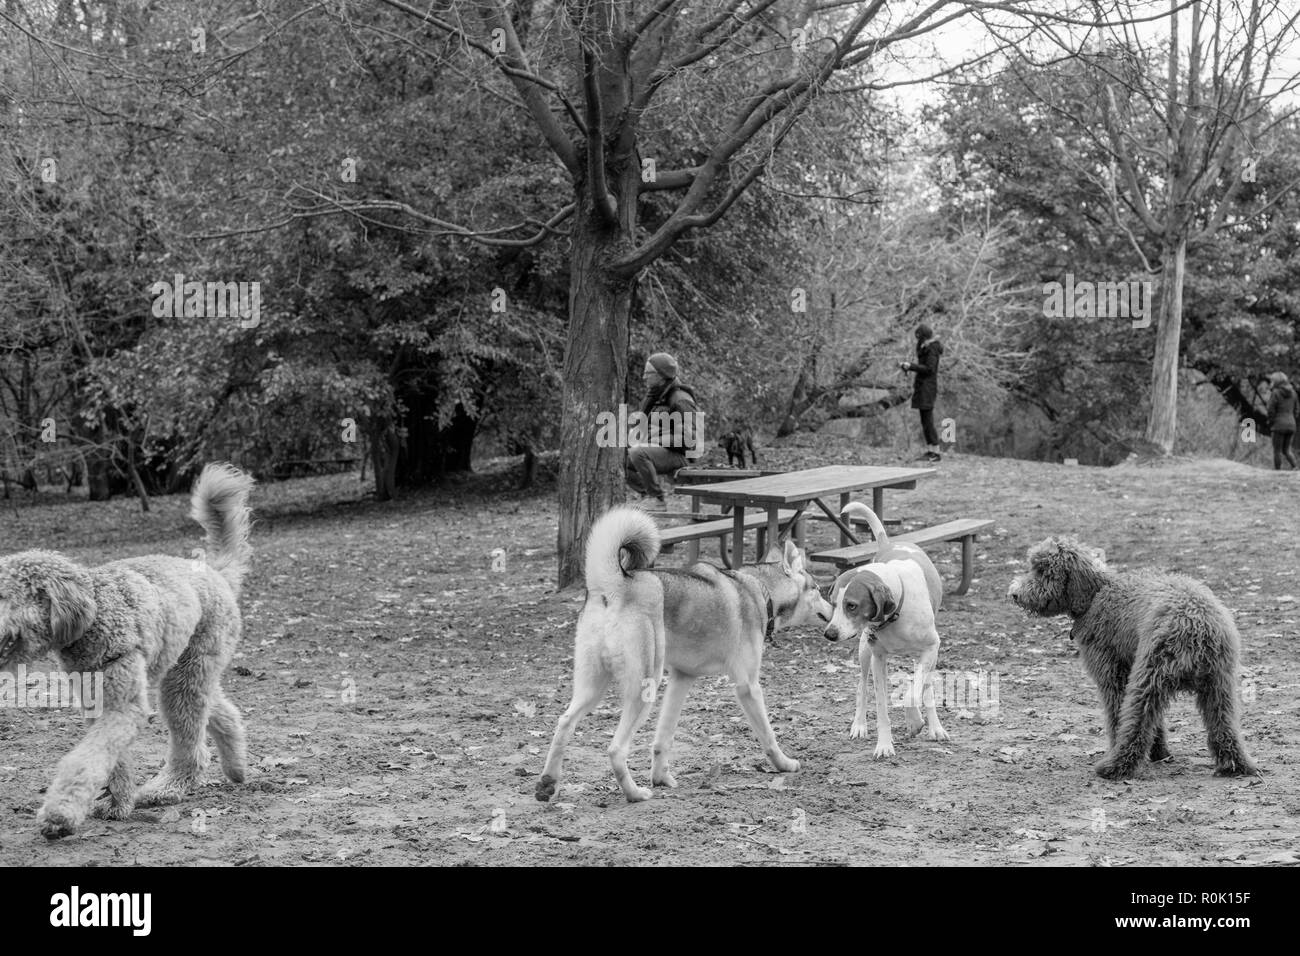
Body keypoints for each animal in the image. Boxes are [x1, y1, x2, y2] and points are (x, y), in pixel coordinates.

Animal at [0, 463, 254, 837]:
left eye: (4, 595)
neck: (95, 613)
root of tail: (215, 571)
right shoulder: (97, 699)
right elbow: (111, 757)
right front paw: (117, 802)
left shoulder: (122, 704)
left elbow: (86, 759)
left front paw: (60, 813)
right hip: (188, 670)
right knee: (220, 710)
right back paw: (236, 766)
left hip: (189, 672)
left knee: (190, 742)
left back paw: (166, 789)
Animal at [538, 504, 832, 806]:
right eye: (818, 589)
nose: (834, 607)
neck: (760, 591)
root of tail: (615, 585)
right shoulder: (747, 687)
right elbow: (768, 735)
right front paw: (784, 764)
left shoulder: (682, 679)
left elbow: (662, 738)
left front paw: (661, 778)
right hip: (645, 689)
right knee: (615, 749)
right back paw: (635, 794)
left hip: (592, 689)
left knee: (564, 723)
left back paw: (548, 783)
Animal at [821, 504, 946, 759]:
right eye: (833, 603)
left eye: (851, 605)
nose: (830, 634)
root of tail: (889, 544)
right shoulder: (878, 658)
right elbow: (881, 706)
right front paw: (885, 745)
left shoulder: (931, 648)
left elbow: (913, 694)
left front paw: (915, 723)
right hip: (864, 651)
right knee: (861, 687)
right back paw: (859, 725)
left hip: (929, 656)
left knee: (926, 688)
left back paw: (935, 727)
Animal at [1008, 535, 1253, 780]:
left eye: (1043, 571)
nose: (1014, 594)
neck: (1096, 594)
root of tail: (1195, 625)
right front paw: (1159, 753)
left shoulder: (1113, 675)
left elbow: (1117, 717)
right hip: (1218, 686)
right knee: (1223, 727)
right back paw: (1235, 766)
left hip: (1149, 679)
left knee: (1136, 725)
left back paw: (1114, 766)